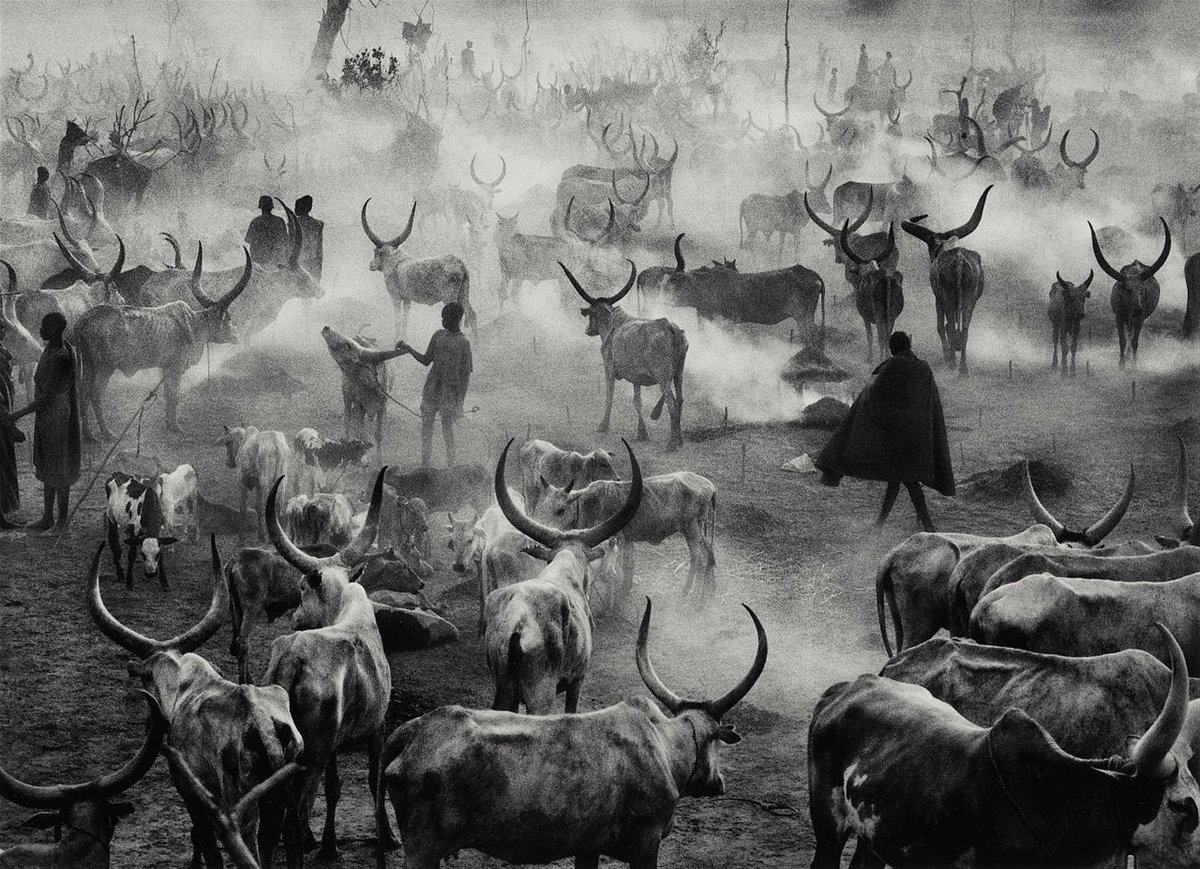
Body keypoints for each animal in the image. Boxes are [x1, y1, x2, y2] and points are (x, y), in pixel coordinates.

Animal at [379, 597, 763, 869]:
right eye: (718, 742)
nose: (719, 782)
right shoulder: (646, 844)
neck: (665, 748)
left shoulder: (588, 847)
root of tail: (413, 730)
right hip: (423, 849)